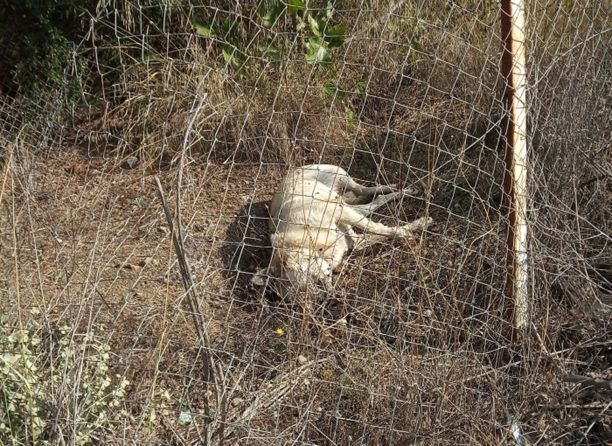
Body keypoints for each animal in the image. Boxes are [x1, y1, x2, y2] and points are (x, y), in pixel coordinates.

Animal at [251, 164, 432, 296]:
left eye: (305, 272)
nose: (325, 293)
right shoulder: (354, 240)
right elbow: (378, 233)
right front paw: (413, 227)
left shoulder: (339, 211)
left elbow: (377, 228)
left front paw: (412, 228)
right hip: (346, 200)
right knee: (367, 202)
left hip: (340, 176)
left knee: (366, 191)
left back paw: (402, 189)